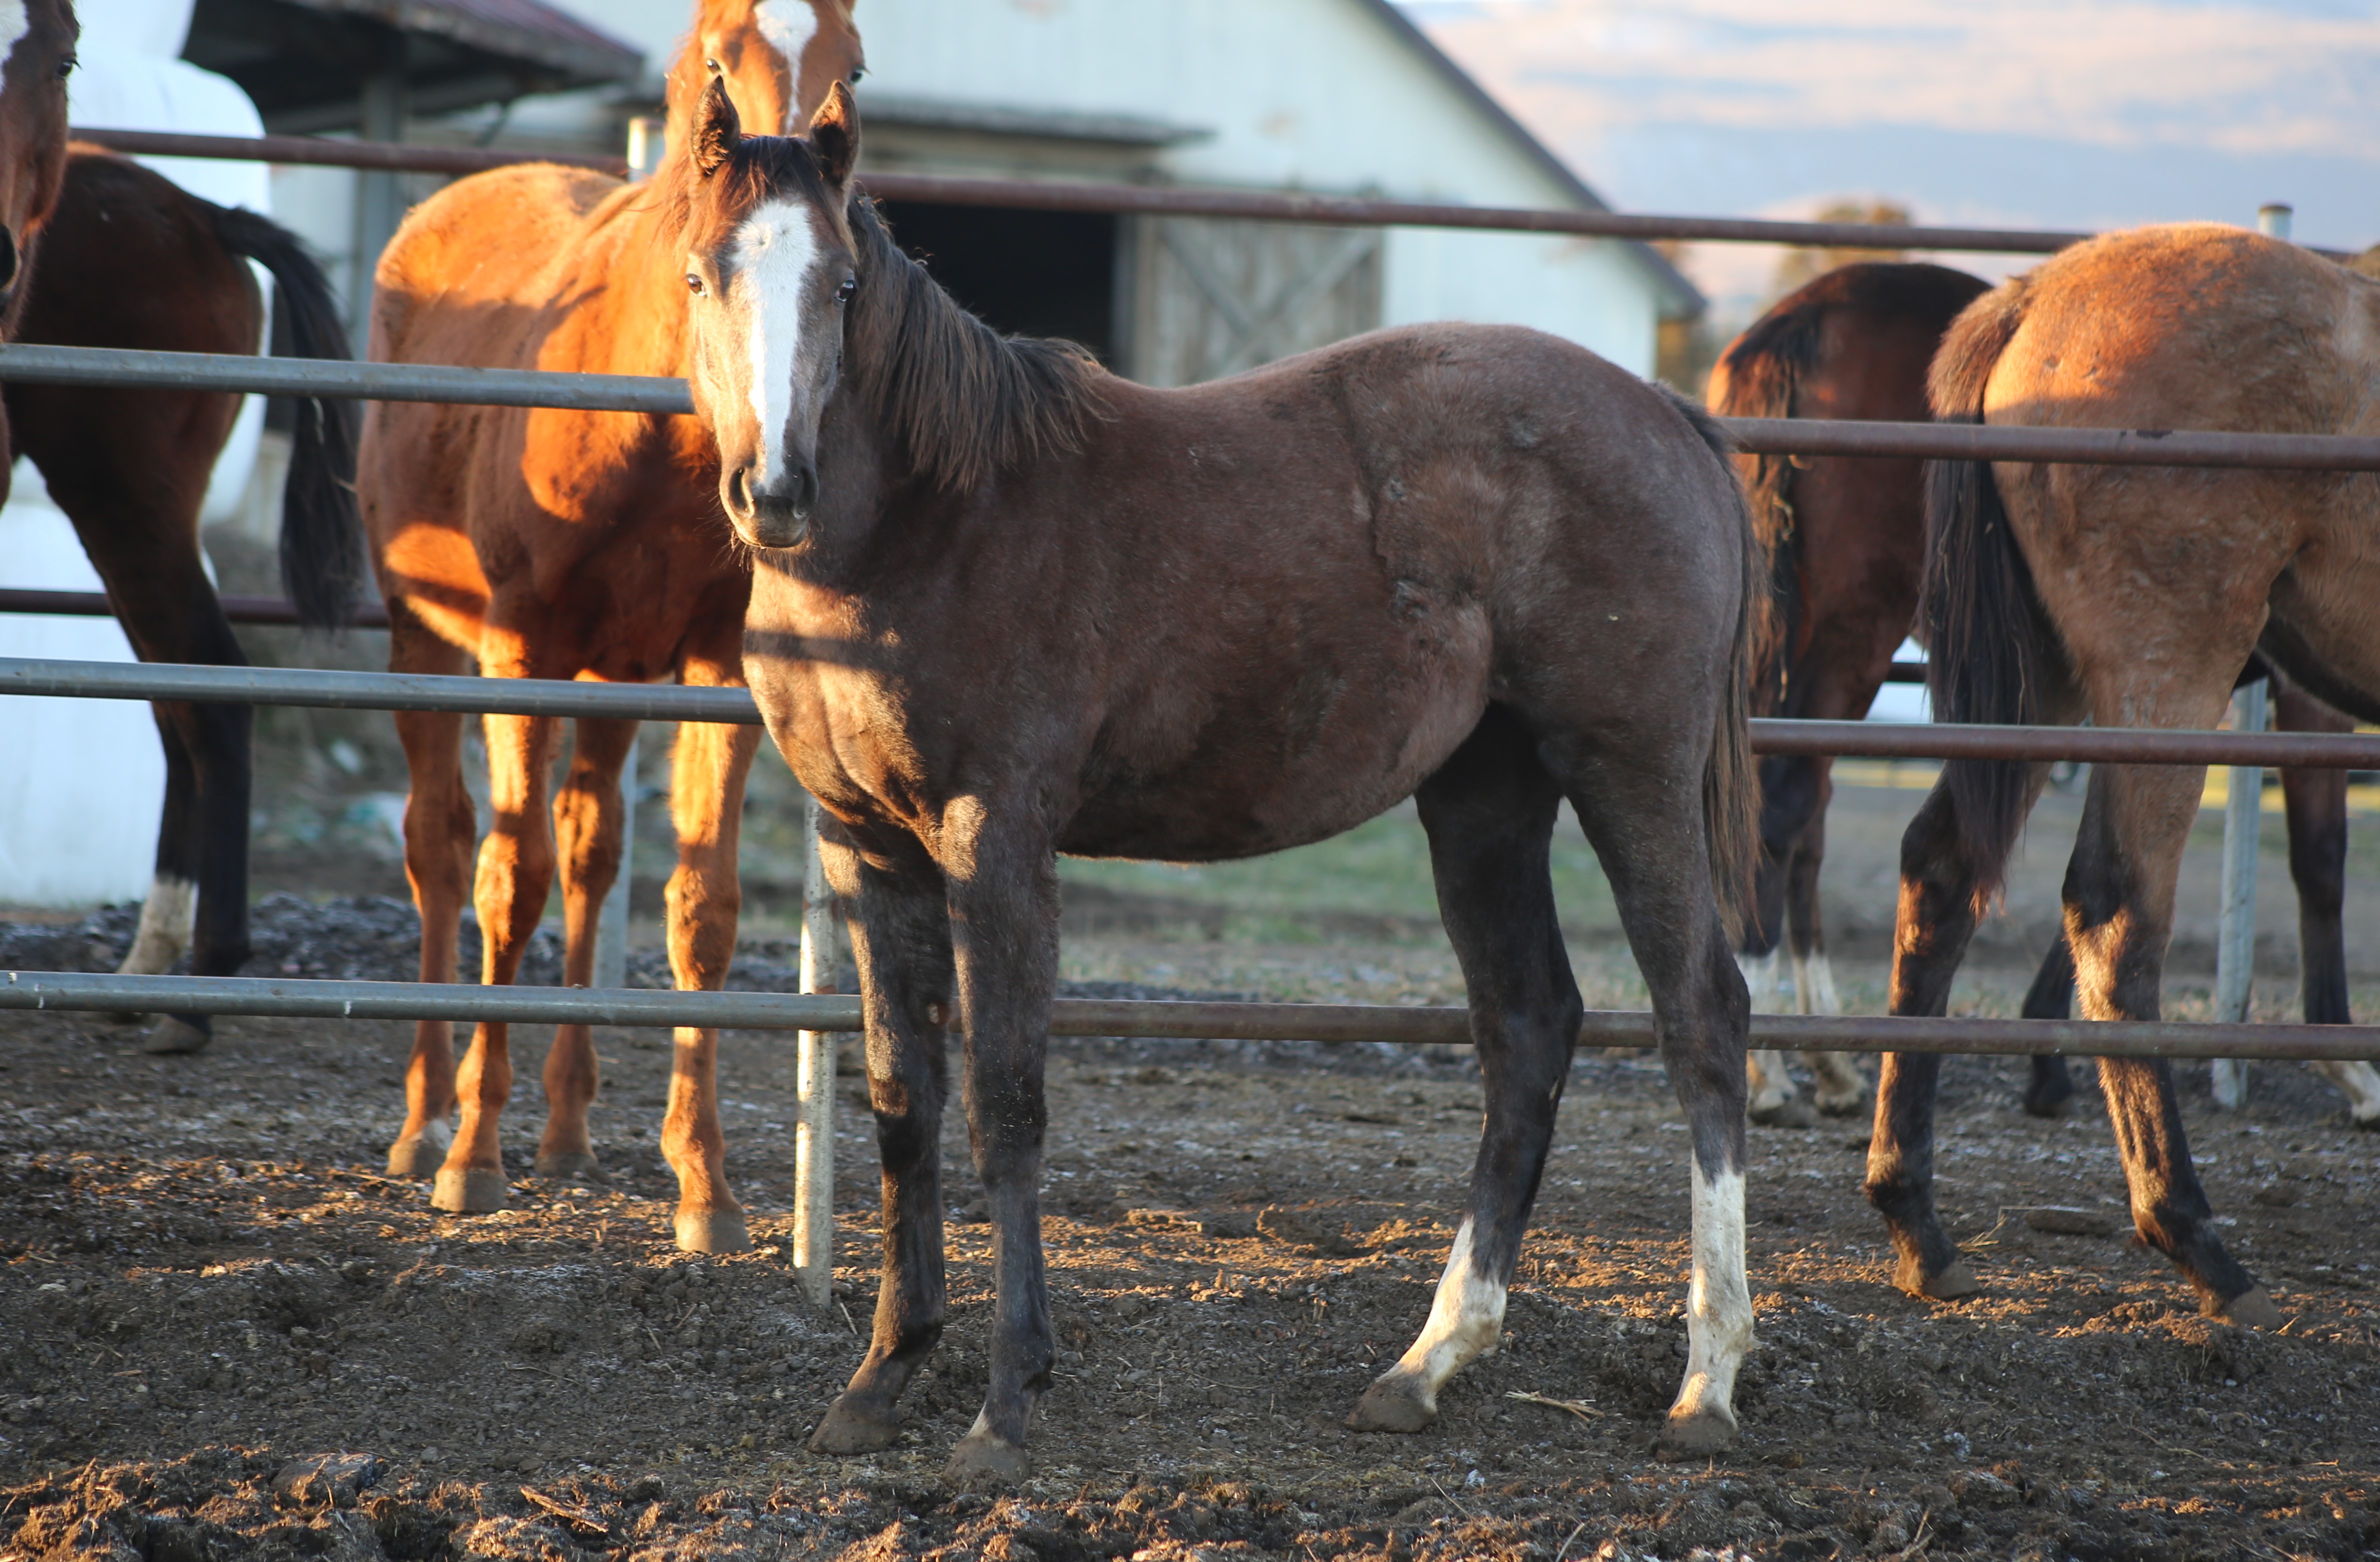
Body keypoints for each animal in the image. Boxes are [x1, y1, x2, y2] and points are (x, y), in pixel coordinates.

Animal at [15, 149, 361, 1048]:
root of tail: (203, 214)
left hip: (122, 498)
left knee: (211, 695)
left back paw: (198, 985)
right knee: (182, 700)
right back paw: (153, 962)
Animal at [361, 0, 866, 1248]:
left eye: (856, 62)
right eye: (721, 53)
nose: (775, 489)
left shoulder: (712, 670)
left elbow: (699, 904)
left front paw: (706, 1184)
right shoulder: (520, 645)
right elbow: (509, 881)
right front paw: (474, 1156)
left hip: (610, 674)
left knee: (593, 849)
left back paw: (566, 1127)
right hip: (422, 636)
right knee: (440, 847)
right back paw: (427, 1120)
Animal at [1875, 226, 2380, 1324]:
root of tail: (2031, 298)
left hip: (2045, 686)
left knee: (1940, 872)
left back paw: (1915, 1216)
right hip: (2166, 676)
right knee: (2114, 913)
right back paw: (2191, 1235)